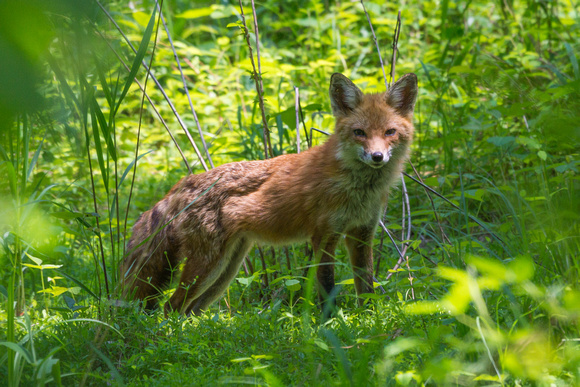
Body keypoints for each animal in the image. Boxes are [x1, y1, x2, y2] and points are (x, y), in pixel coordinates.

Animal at [122, 73, 416, 316]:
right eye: (359, 133)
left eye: (390, 132)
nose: (377, 156)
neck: (358, 188)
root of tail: (184, 183)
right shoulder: (323, 236)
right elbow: (328, 290)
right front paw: (331, 327)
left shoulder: (362, 234)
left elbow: (366, 288)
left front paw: (369, 322)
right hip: (207, 266)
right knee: (170, 307)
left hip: (226, 268)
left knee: (189, 310)